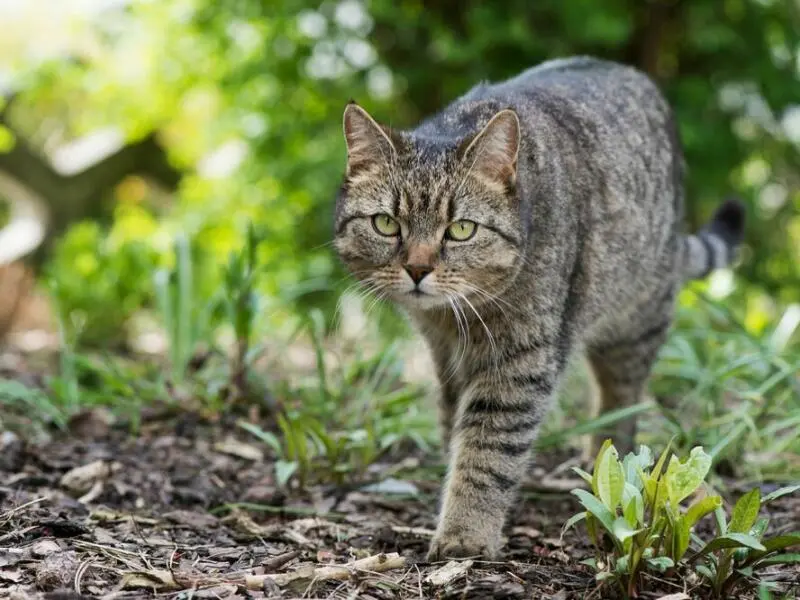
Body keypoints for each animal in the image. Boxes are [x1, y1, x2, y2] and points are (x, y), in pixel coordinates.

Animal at [332, 57, 744, 564]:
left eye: (461, 229)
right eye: (387, 224)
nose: (417, 269)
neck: (455, 318)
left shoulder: (519, 362)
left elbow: (487, 451)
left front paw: (465, 532)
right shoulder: (444, 356)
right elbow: (454, 428)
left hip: (634, 321)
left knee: (622, 400)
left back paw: (608, 462)